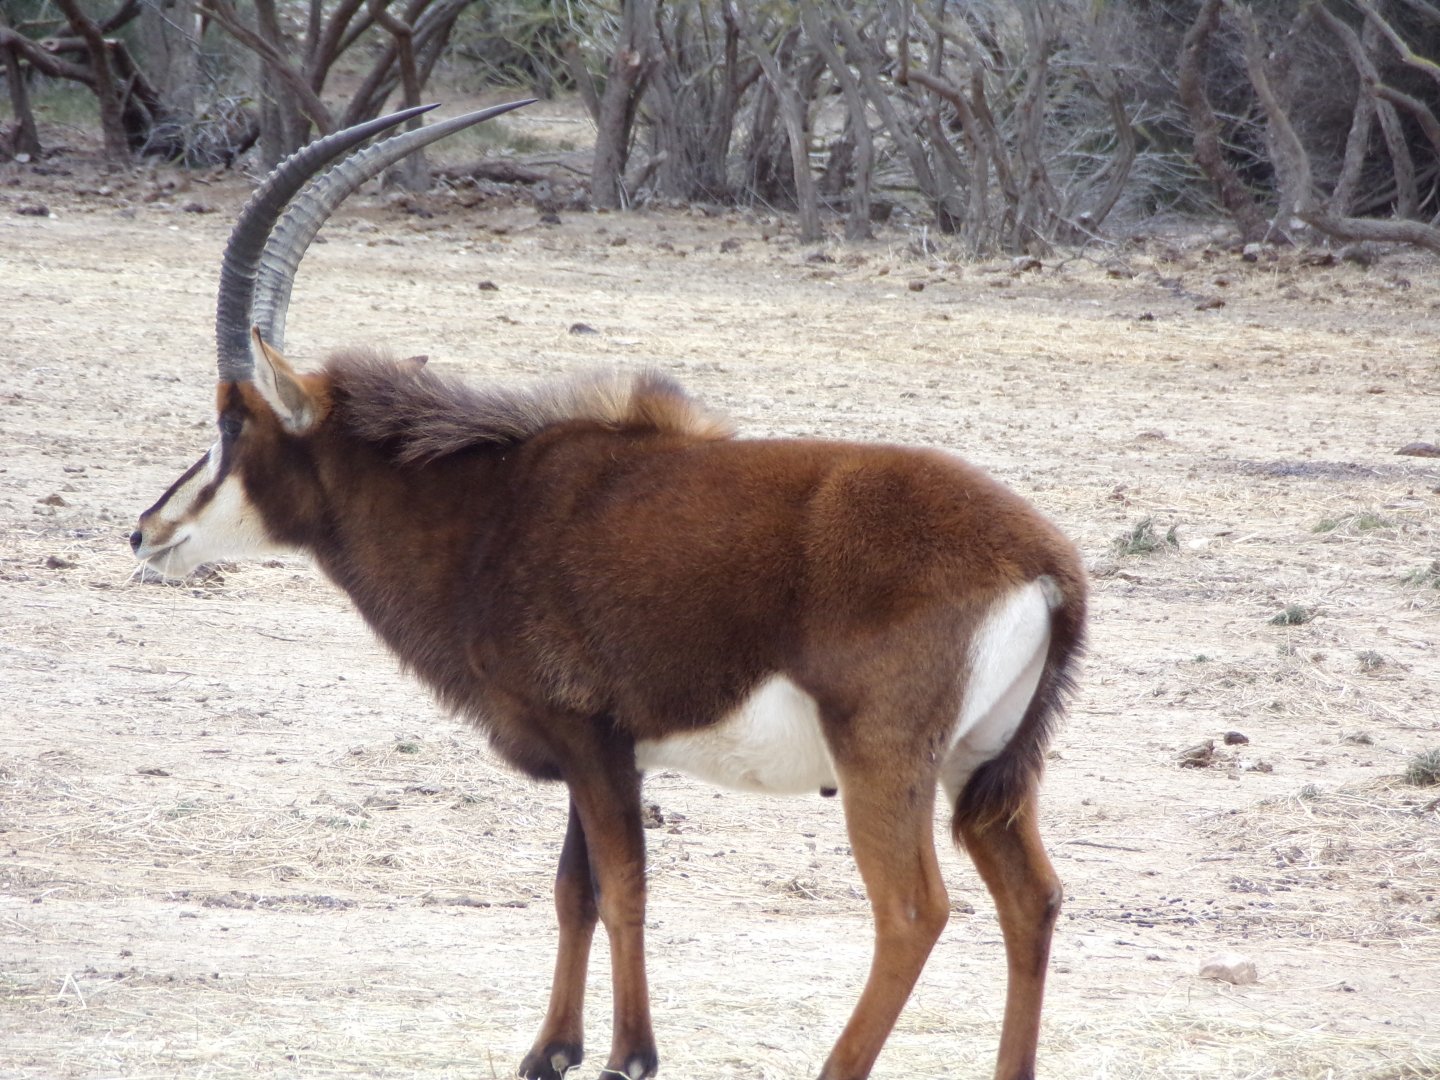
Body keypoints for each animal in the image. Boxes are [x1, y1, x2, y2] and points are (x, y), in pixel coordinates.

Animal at [132, 101, 1087, 1080]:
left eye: (231, 422)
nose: (147, 532)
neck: (493, 506)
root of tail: (1047, 564)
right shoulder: (593, 747)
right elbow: (573, 890)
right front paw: (551, 1047)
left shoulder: (589, 739)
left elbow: (623, 887)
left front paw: (630, 1053)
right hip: (982, 767)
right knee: (1033, 899)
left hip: (882, 760)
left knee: (912, 911)